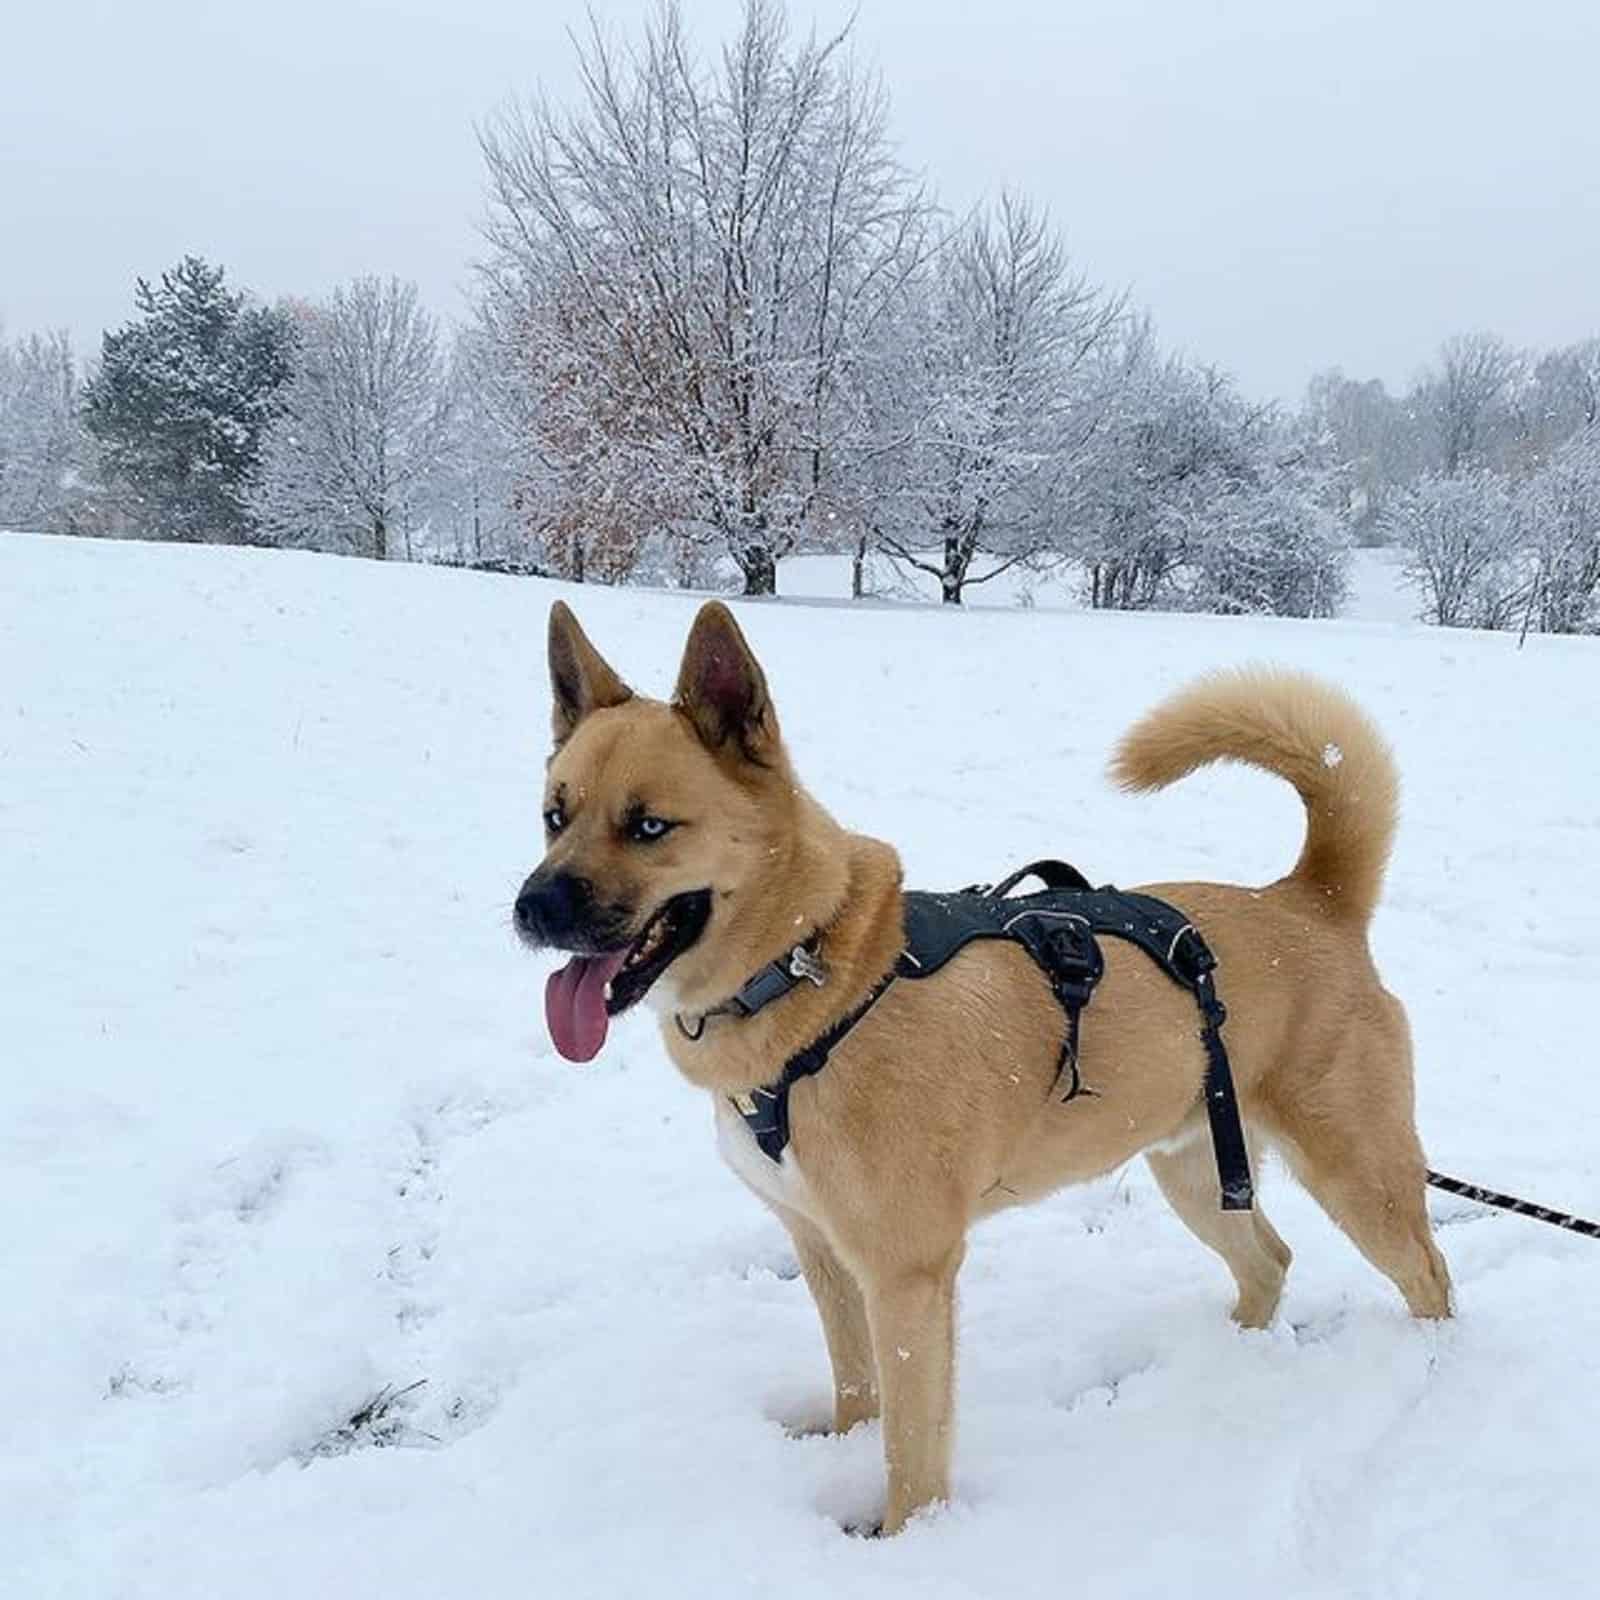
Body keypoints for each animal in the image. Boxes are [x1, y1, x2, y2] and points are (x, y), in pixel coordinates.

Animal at [512, 601, 1452, 1536]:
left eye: (648, 826)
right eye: (556, 815)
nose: (529, 909)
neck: (813, 973)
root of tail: (1311, 897)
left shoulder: (908, 1275)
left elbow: (911, 1448)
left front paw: (904, 1541)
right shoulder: (823, 1251)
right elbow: (858, 1390)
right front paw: (845, 1455)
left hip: (1357, 1174)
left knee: (1428, 1275)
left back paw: (1432, 1370)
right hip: (1193, 1169)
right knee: (1270, 1260)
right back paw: (1230, 1361)